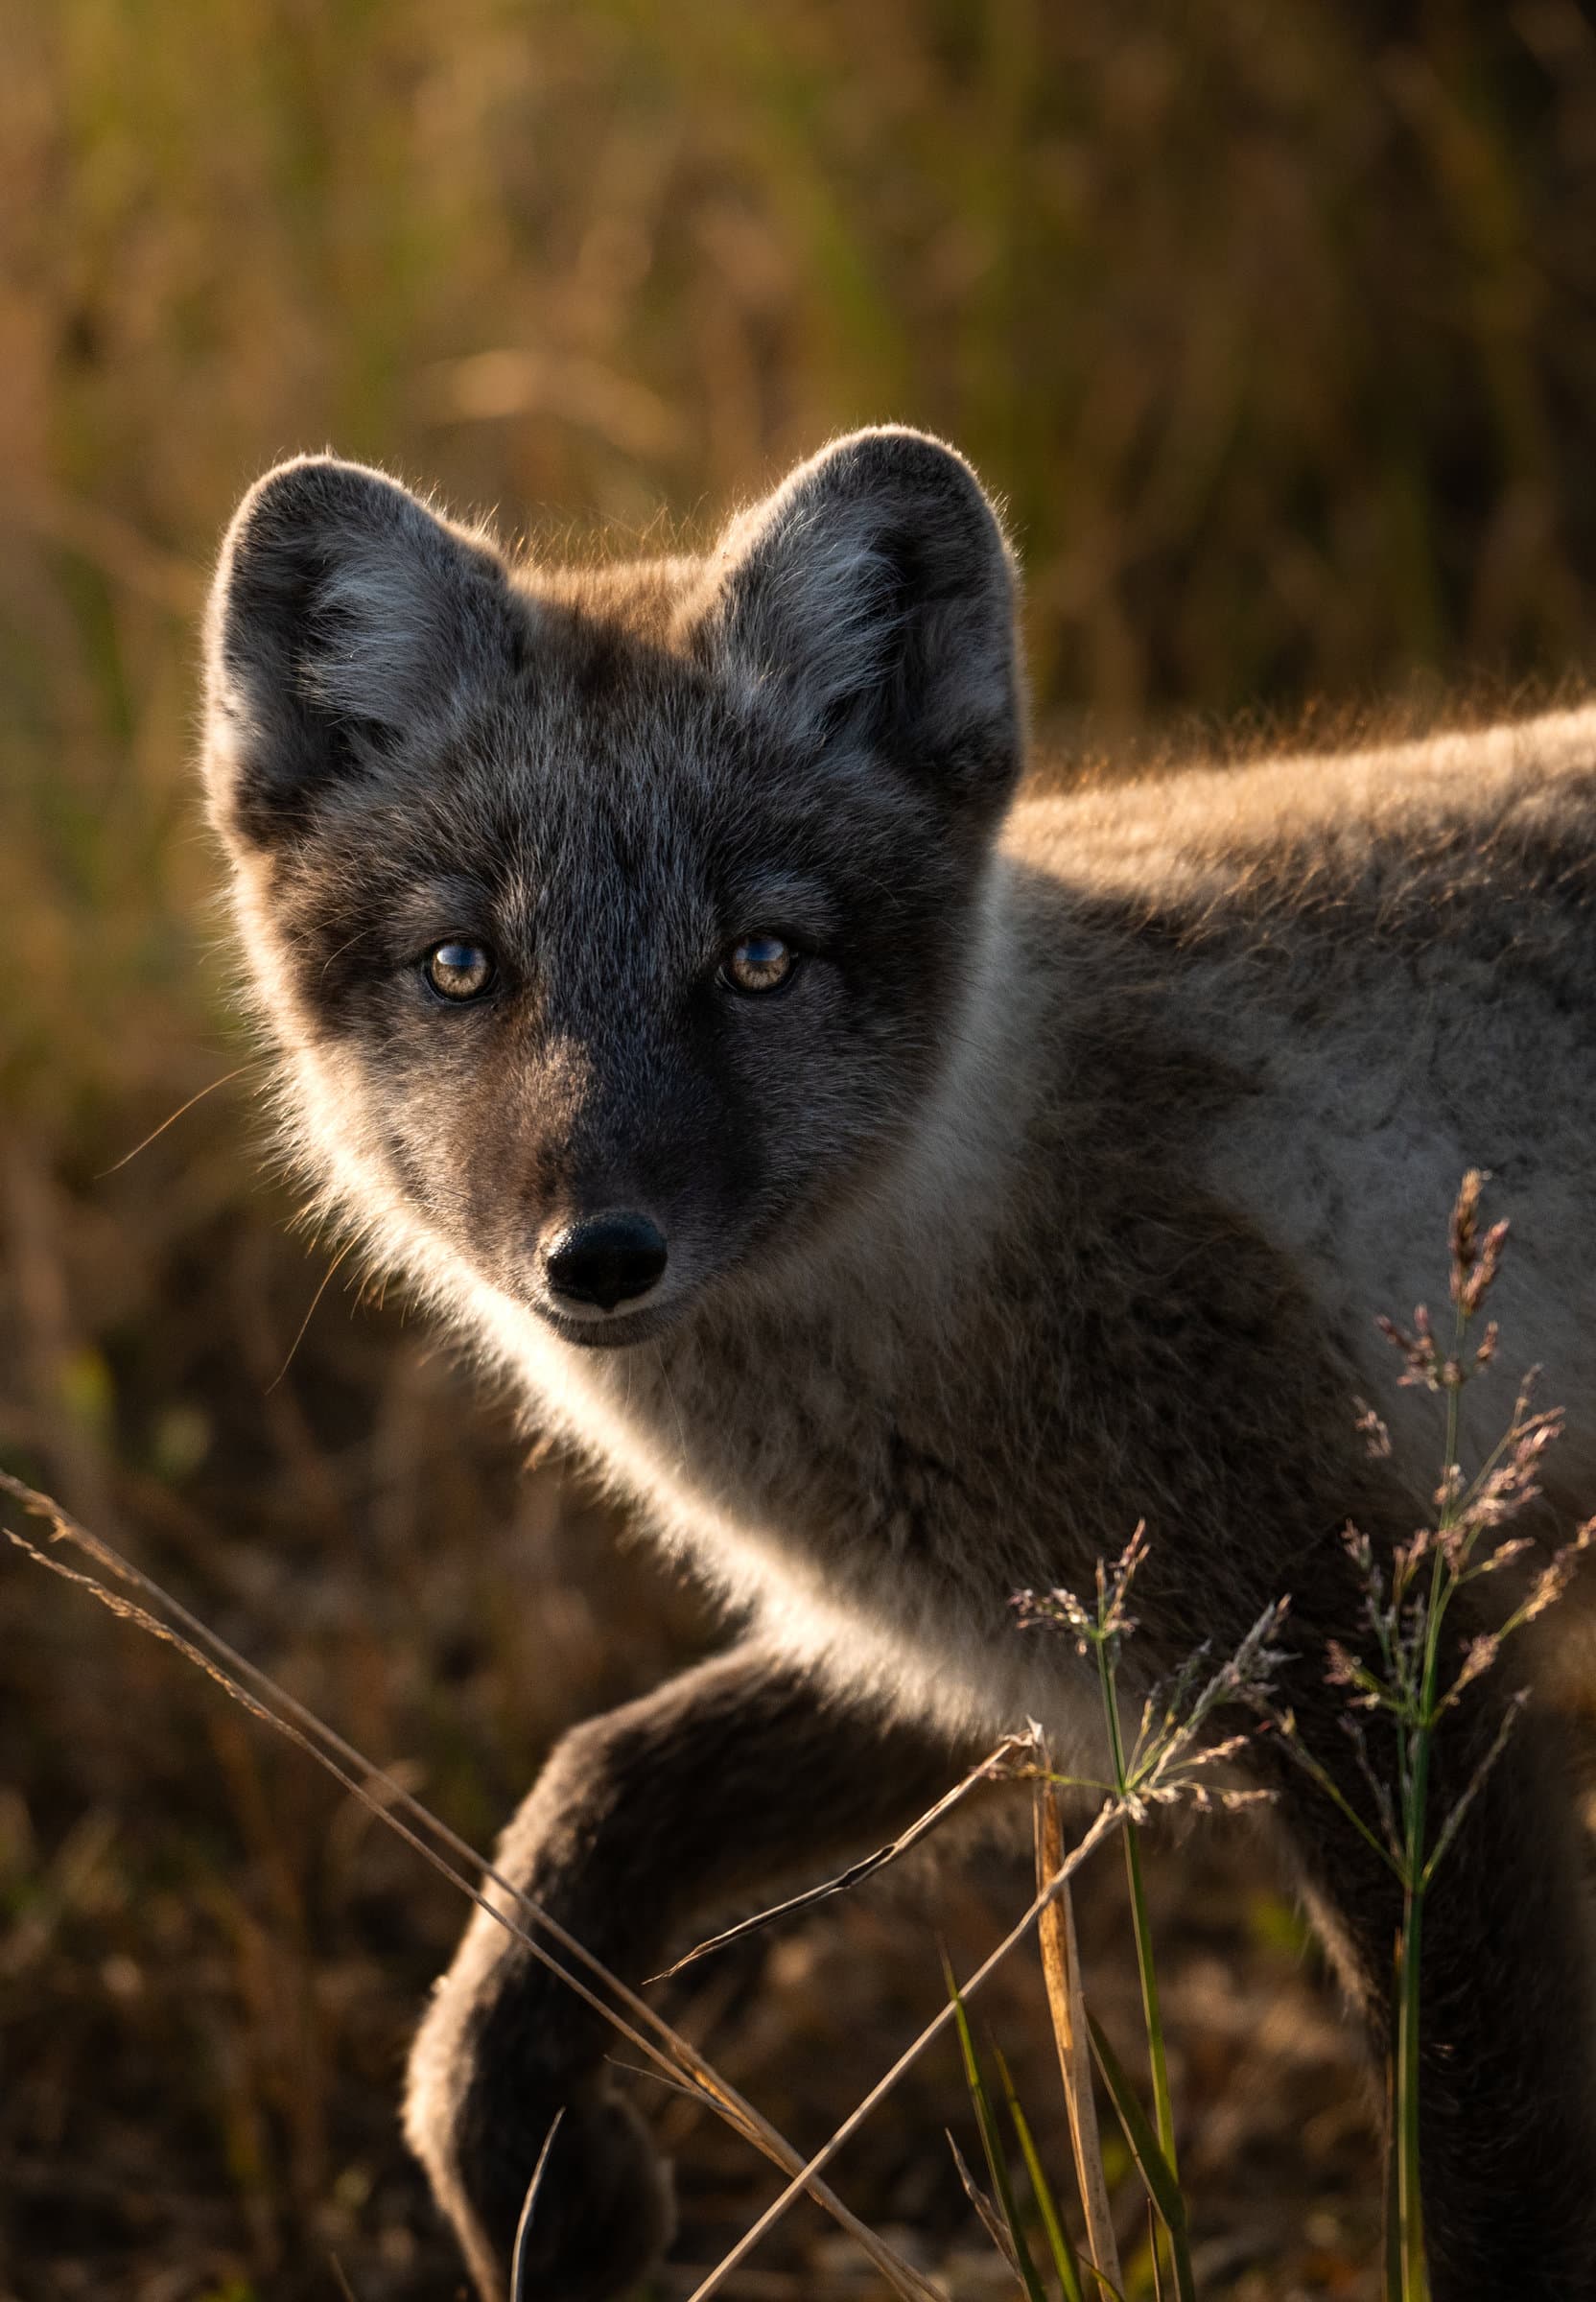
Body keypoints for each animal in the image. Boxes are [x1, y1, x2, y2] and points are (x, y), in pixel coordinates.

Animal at [200, 427, 1596, 2300]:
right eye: (462, 968)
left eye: (759, 960)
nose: (598, 1256)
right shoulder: (980, 1653)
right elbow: (599, 1792)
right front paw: (530, 2168)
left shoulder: (1381, 1648)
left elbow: (1480, 2172)